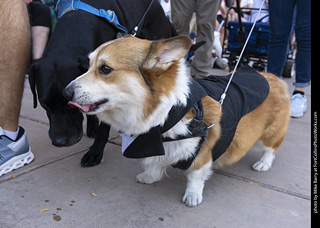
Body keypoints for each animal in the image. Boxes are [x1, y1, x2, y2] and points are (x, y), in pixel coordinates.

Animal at [28, 0, 178, 167]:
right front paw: (92, 126)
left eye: (69, 103)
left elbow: (104, 127)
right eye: (44, 104)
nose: (59, 142)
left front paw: (95, 152)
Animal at [63, 35, 292, 207]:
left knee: (271, 148)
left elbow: (195, 176)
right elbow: (154, 163)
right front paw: (150, 176)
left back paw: (263, 164)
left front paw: (192, 196)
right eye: (88, 65)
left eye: (105, 69)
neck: (166, 115)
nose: (65, 93)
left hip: (271, 133)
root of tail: (274, 77)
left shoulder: (204, 150)